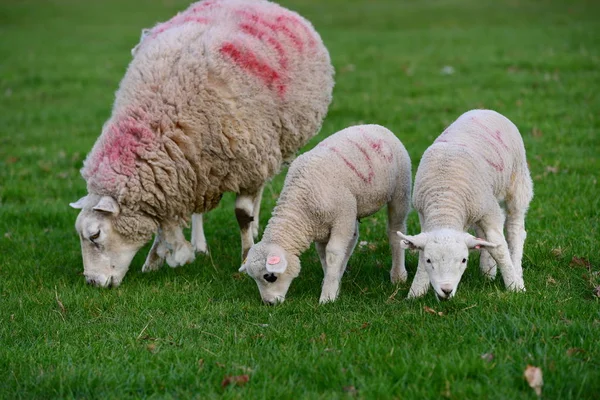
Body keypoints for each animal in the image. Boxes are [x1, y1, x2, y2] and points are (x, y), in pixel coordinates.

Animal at [69, 0, 338, 288]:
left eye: (95, 235)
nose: (92, 282)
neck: (163, 111)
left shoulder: (249, 160)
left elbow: (242, 214)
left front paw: (246, 257)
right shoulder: (179, 172)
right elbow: (163, 219)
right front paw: (154, 259)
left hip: (268, 146)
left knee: (260, 187)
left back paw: (253, 227)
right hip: (202, 170)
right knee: (199, 208)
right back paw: (199, 243)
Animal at [239, 124, 412, 304]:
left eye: (270, 276)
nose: (269, 303)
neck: (300, 202)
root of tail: (375, 126)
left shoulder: (341, 219)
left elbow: (333, 253)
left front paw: (327, 296)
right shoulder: (321, 227)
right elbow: (323, 256)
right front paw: (331, 282)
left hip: (400, 191)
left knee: (396, 230)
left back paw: (398, 275)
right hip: (353, 209)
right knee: (353, 239)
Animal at [398, 109, 536, 300]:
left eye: (464, 260)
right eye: (429, 260)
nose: (446, 290)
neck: (446, 200)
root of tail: (484, 110)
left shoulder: (490, 210)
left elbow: (500, 249)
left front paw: (515, 286)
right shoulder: (424, 216)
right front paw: (416, 292)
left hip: (517, 182)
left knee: (515, 228)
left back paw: (516, 269)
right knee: (482, 236)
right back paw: (488, 271)